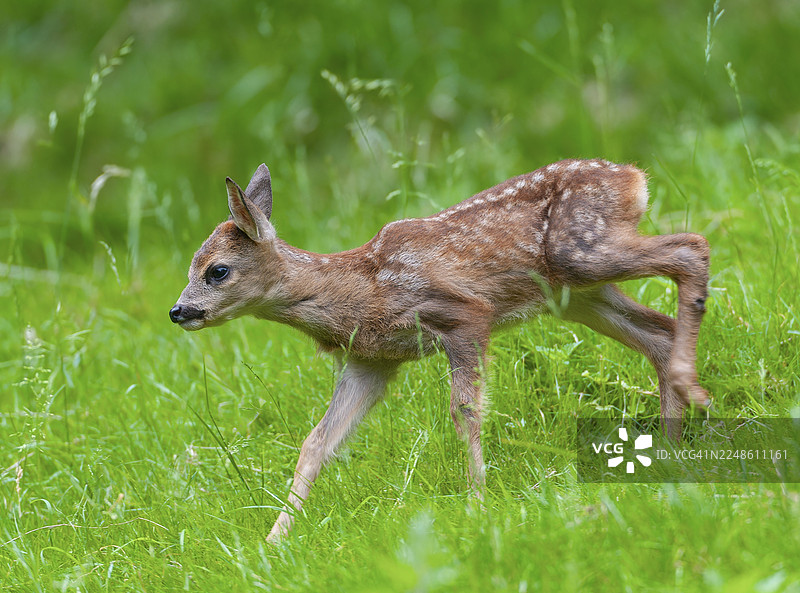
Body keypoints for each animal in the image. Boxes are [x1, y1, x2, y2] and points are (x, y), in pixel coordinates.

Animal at [170, 159, 710, 542]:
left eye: (217, 270)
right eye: (191, 266)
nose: (178, 311)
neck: (359, 291)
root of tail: (633, 175)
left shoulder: (464, 314)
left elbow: (465, 410)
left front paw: (477, 505)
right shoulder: (372, 360)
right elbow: (317, 442)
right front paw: (274, 541)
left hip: (582, 253)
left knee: (692, 247)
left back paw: (691, 392)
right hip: (576, 295)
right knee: (659, 331)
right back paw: (669, 449)